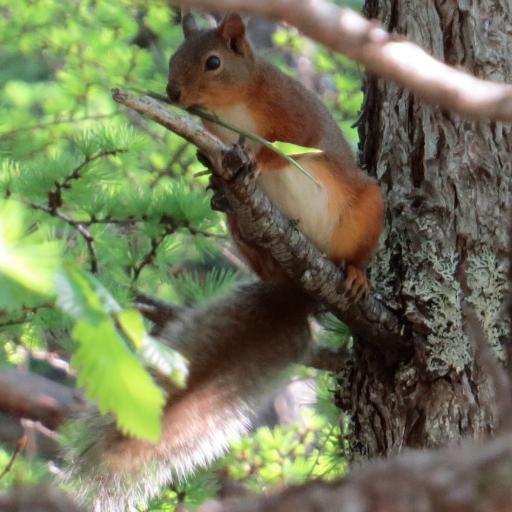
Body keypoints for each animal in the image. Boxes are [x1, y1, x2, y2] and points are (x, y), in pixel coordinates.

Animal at [166, 12, 382, 300]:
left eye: (213, 62)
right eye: (173, 58)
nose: (172, 92)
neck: (228, 107)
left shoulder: (292, 106)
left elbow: (294, 142)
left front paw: (256, 162)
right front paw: (214, 178)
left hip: (367, 213)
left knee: (354, 254)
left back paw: (357, 274)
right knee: (265, 264)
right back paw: (226, 204)